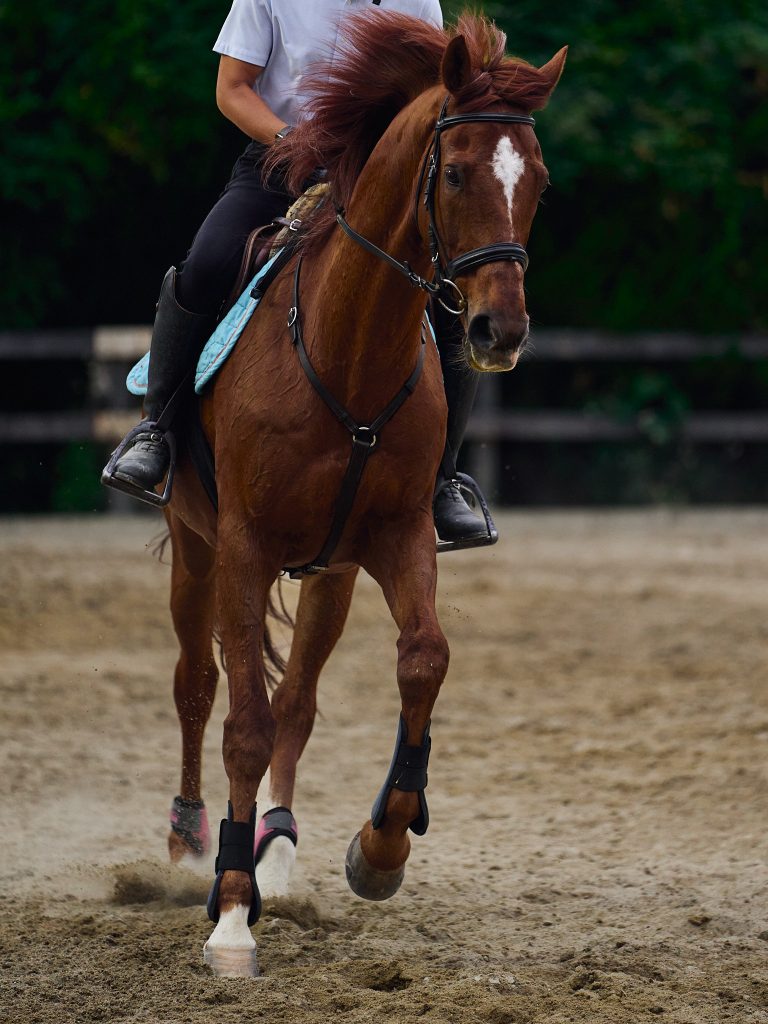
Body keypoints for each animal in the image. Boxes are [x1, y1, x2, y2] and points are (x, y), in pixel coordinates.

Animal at [160, 11, 566, 976]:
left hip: (331, 575)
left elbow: (422, 660)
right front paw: (231, 914)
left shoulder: (397, 537)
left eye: (535, 181)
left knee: (299, 702)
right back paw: (195, 840)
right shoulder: (242, 551)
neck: (346, 344)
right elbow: (241, 723)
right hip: (195, 551)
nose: (498, 331)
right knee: (198, 685)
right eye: (455, 172)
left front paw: (379, 848)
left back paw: (277, 848)